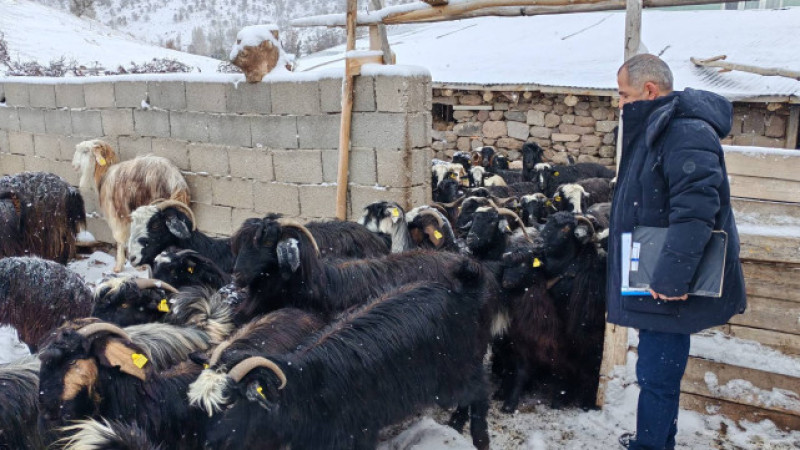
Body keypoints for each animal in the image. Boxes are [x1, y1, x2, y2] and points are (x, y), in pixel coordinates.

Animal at [72, 139, 191, 272]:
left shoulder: (116, 215)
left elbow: (120, 239)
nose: (73, 166)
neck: (105, 173)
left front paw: (119, 266)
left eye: (85, 151)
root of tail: (175, 179)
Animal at [191, 278, 496, 450]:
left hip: (454, 373)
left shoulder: (356, 434)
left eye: (231, 402)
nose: (209, 443)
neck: (304, 390)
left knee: (481, 390)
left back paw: (479, 438)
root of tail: (462, 293)